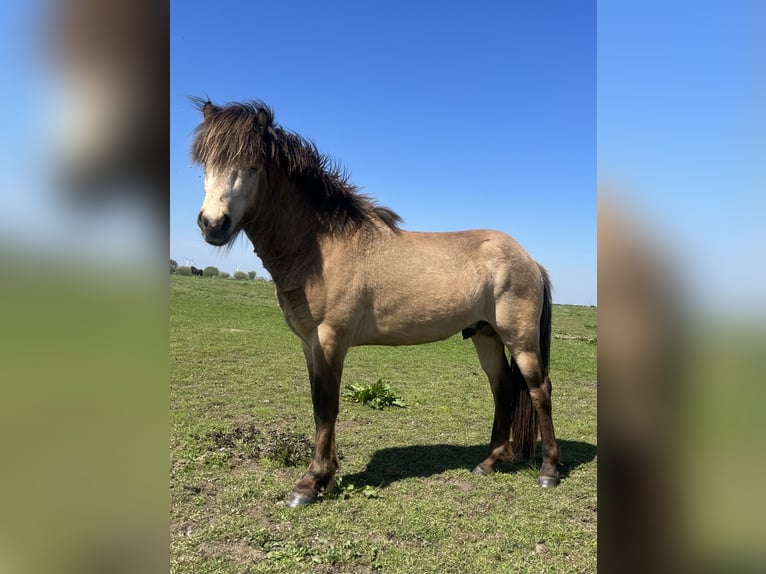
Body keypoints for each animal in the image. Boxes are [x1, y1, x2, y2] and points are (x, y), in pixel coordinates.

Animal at [190, 98, 560, 507]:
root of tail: (530, 259)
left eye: (252, 166)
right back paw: (489, 462)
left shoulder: (330, 339)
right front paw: (326, 477)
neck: (322, 248)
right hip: (485, 335)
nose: (213, 224)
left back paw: (549, 472)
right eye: (206, 164)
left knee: (539, 390)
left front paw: (310, 483)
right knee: (504, 389)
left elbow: (326, 406)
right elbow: (319, 405)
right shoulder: (308, 343)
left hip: (519, 339)